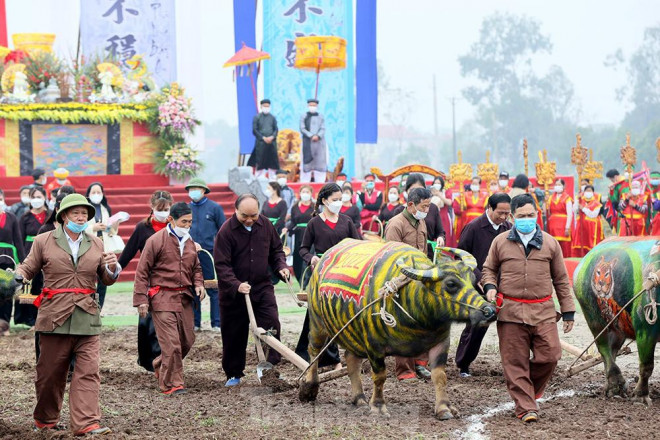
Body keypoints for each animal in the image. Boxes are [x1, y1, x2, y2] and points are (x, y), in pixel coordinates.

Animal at [300, 239, 496, 422]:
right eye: (451, 284)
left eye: (472, 281)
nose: (489, 311)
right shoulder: (374, 346)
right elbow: (380, 377)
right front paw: (378, 406)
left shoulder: (441, 343)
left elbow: (439, 376)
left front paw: (443, 408)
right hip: (318, 322)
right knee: (314, 351)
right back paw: (309, 388)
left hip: (351, 332)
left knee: (351, 360)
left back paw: (359, 398)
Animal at [572, 239, 660, 404]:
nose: (601, 283)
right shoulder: (645, 330)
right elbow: (646, 366)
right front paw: (641, 395)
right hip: (594, 321)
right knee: (604, 350)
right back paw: (616, 384)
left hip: (618, 328)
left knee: (611, 352)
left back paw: (609, 386)